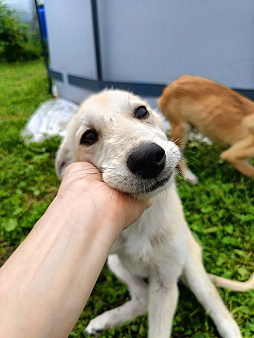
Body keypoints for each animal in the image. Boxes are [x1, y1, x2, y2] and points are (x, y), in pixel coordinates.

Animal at [55, 90, 252, 338]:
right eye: (88, 137)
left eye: (141, 111)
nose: (147, 158)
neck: (142, 220)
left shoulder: (165, 283)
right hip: (115, 263)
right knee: (141, 300)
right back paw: (105, 322)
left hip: (190, 267)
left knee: (219, 310)